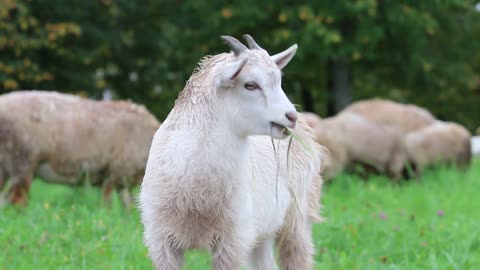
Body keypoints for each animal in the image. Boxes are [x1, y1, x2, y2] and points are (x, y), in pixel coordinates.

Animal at [0, 89, 161, 208]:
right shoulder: (114, 171)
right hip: (23, 161)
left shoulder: (123, 178)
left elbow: (128, 205)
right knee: (16, 201)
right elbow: (107, 202)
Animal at [139, 35, 326, 270]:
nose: (290, 116)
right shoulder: (161, 241)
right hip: (262, 231)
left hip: (297, 216)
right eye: (250, 84)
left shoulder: (232, 240)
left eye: (279, 82)